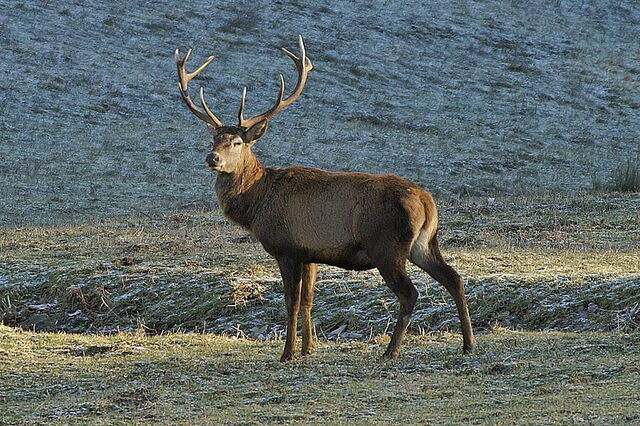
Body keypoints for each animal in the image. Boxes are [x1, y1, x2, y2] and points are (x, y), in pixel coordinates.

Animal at [174, 36, 475, 362]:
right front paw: (308, 348)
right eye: (214, 139)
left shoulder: (287, 248)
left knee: (410, 292)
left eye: (237, 142)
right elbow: (308, 300)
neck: (257, 204)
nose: (212, 158)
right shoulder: (310, 254)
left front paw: (288, 353)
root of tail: (426, 201)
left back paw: (391, 350)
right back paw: (468, 344)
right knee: (454, 278)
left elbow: (291, 301)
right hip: (423, 243)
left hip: (386, 245)